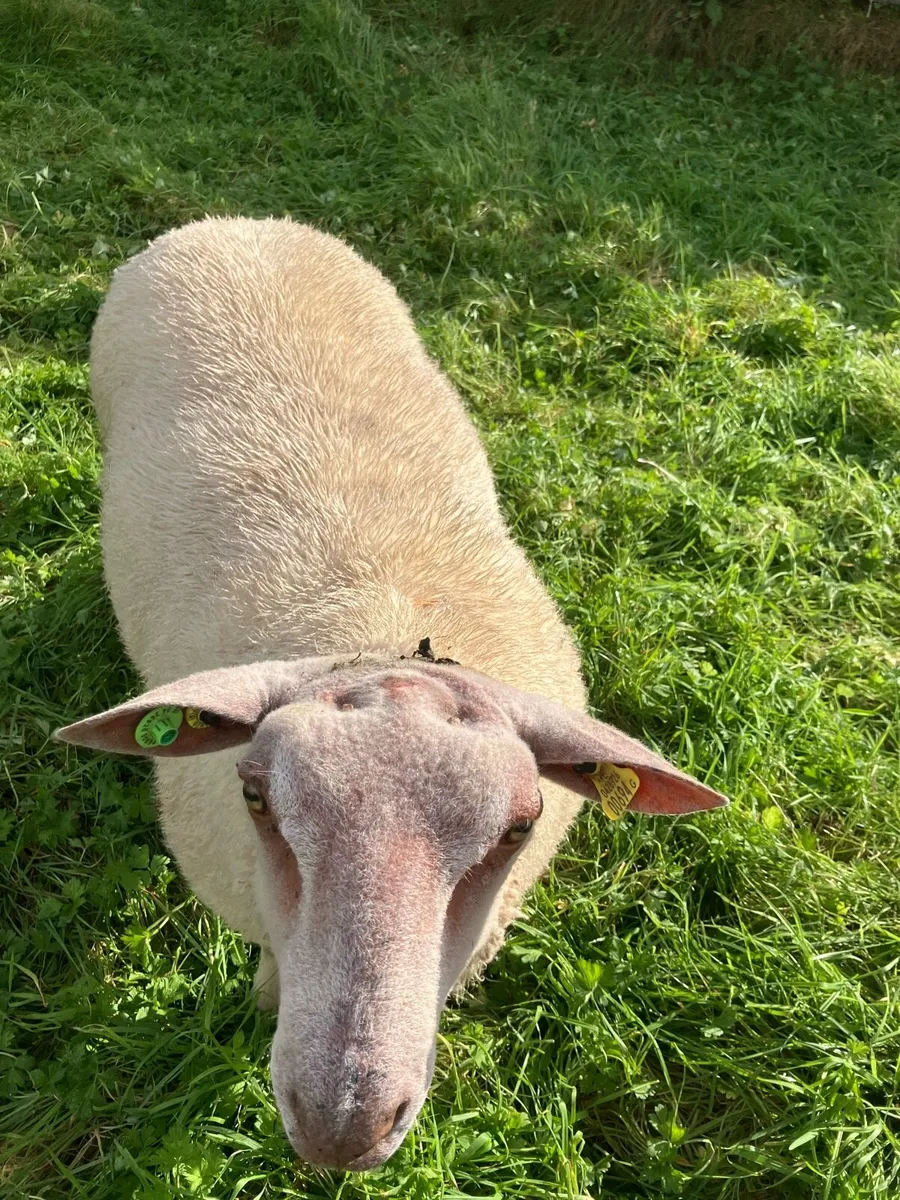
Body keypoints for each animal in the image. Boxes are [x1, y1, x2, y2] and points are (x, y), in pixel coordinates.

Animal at [56, 216, 727, 1172]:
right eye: (255, 797)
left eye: (519, 828)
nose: (345, 1126)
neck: (386, 628)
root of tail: (237, 222)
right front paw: (262, 1006)